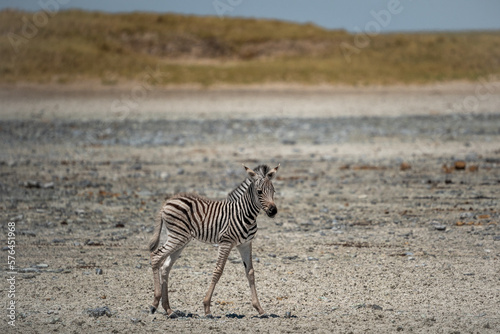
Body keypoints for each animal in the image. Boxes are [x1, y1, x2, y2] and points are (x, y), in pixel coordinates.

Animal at [148, 163, 282, 318]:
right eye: (259, 192)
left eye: (274, 190)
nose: (273, 211)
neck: (245, 214)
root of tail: (168, 201)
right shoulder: (226, 242)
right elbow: (218, 270)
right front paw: (207, 307)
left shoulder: (245, 244)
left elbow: (250, 273)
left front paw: (259, 309)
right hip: (177, 236)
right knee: (156, 256)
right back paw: (154, 304)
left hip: (181, 240)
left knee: (165, 266)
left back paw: (168, 309)